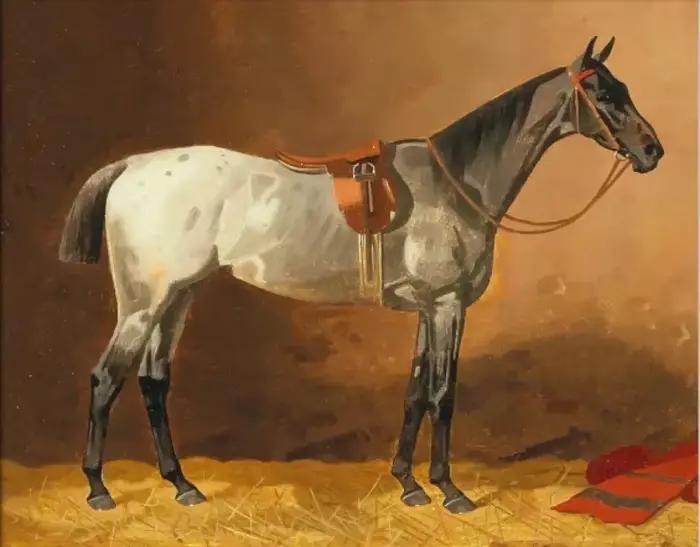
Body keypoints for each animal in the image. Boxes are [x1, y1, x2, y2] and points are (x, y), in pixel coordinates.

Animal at [58, 37, 663, 513]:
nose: (652, 150)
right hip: (144, 302)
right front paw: (449, 490)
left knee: (154, 382)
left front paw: (408, 484)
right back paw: (98, 490)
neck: (458, 181)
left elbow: (415, 392)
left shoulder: (428, 309)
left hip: (179, 297)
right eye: (604, 94)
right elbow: (443, 393)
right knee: (106, 378)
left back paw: (182, 484)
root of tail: (132, 166)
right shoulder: (447, 305)